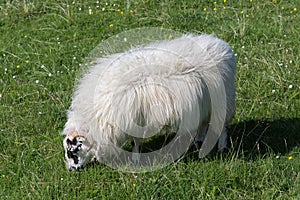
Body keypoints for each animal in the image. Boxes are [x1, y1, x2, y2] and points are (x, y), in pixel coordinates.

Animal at [62, 33, 237, 171]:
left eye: (72, 151)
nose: (71, 170)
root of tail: (225, 48)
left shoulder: (133, 119)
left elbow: (136, 141)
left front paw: (135, 158)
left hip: (224, 101)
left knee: (222, 127)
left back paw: (221, 147)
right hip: (204, 102)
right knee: (203, 122)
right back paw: (198, 141)